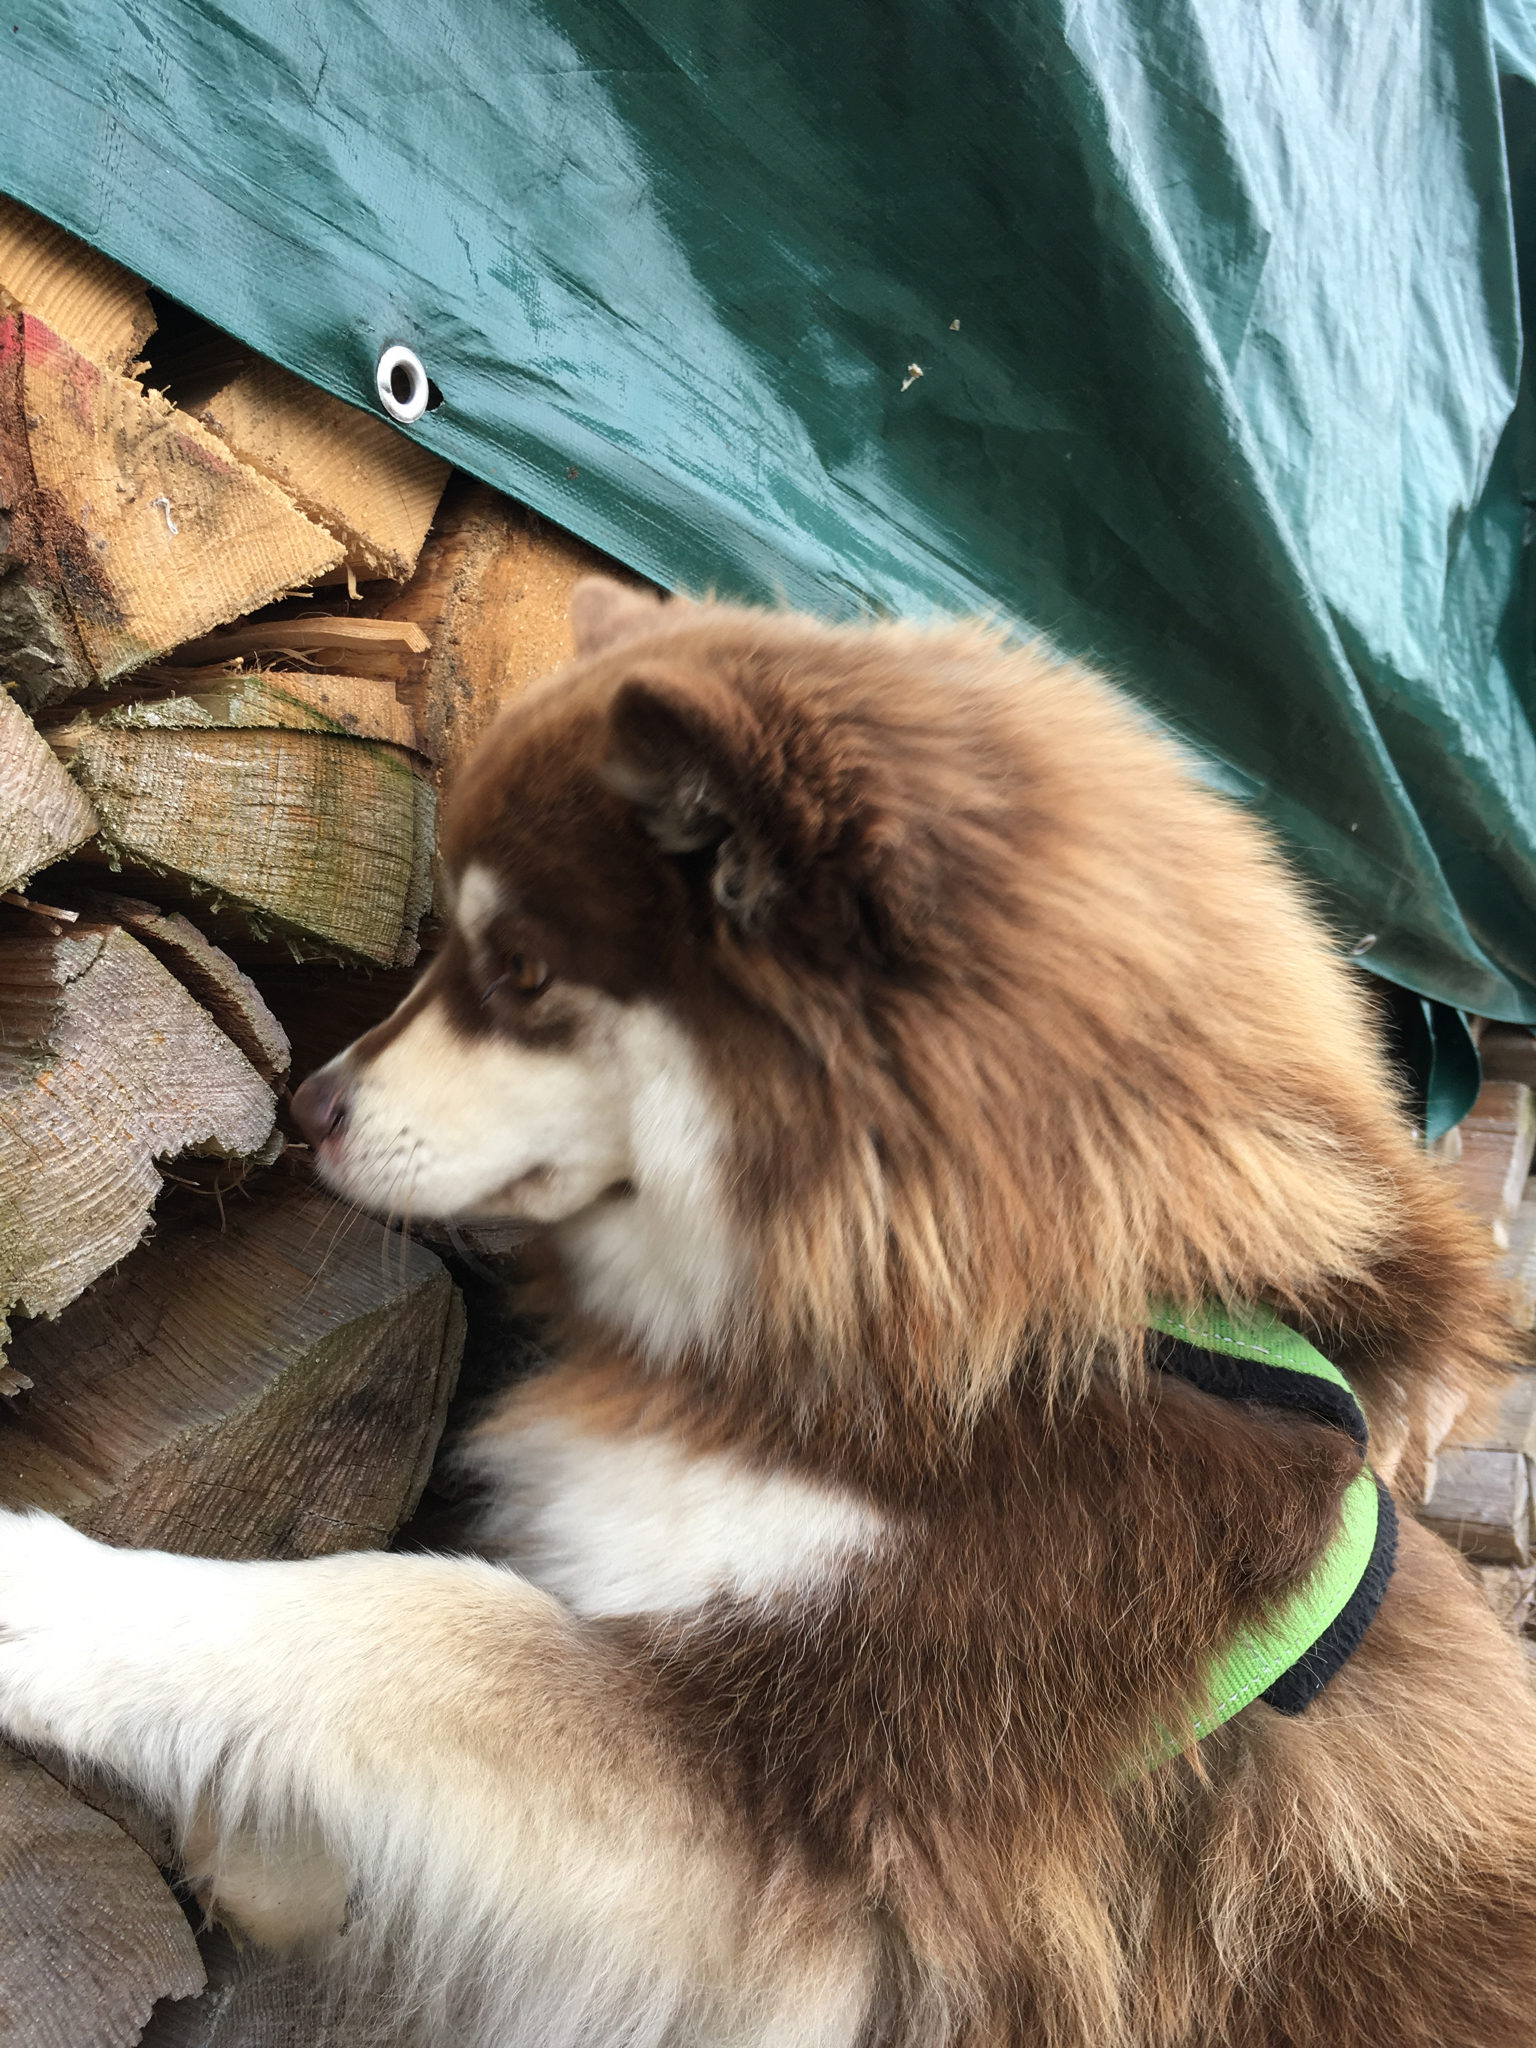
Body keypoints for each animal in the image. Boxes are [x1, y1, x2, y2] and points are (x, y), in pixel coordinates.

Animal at [3, 581, 1536, 2048]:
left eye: (523, 972)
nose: (307, 1102)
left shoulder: (801, 1798)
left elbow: (414, 1618)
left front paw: (63, 1600)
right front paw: (265, 1857)